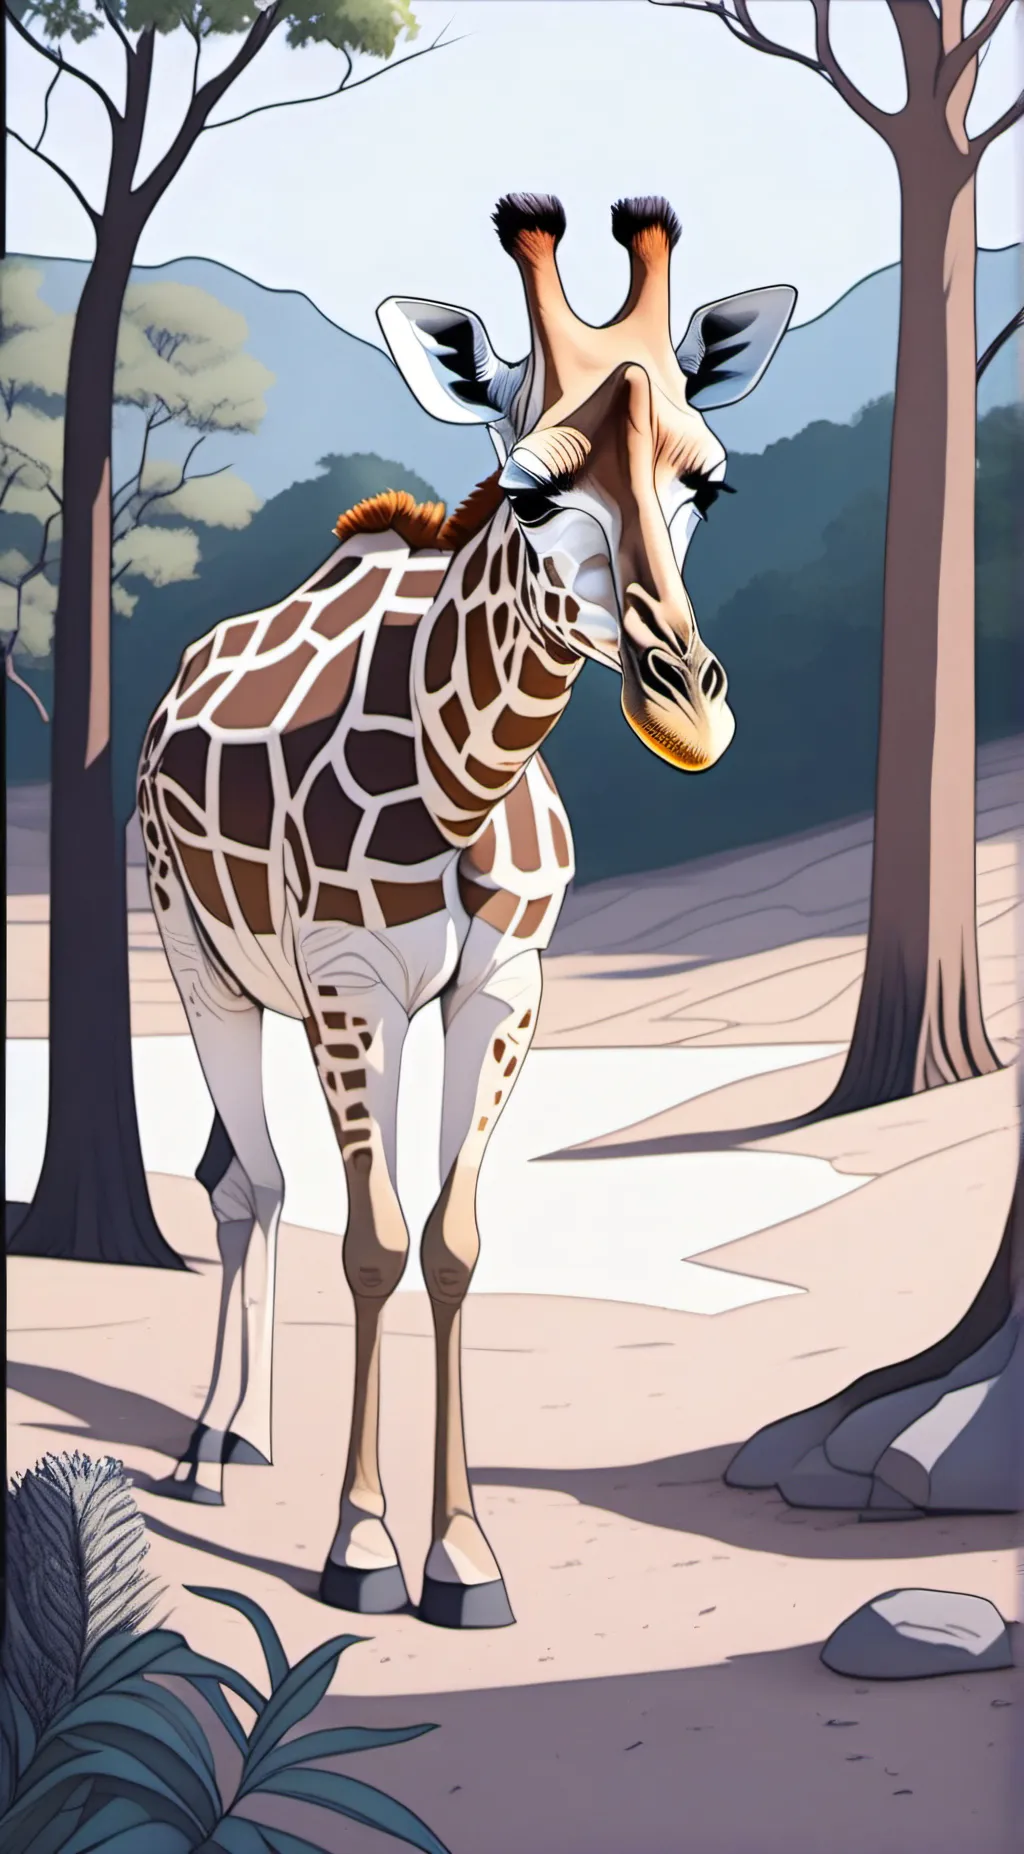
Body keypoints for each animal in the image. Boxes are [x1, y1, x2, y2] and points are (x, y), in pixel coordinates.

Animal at [138, 194, 795, 1628]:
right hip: (197, 956)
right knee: (248, 1182)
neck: (465, 772)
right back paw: (207, 1448)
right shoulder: (350, 982)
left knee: (242, 1176)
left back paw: (250, 1435)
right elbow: (373, 1242)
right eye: (536, 488)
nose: (686, 710)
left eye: (707, 481)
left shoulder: (503, 988)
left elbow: (447, 1241)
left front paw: (464, 1557)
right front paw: (360, 1546)